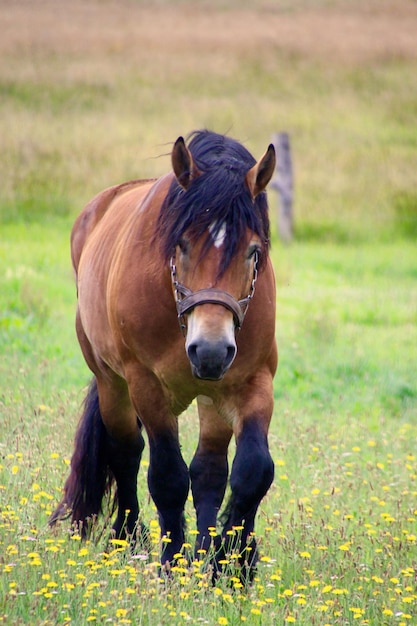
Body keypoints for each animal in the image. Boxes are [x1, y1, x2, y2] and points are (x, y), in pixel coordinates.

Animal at [50, 129, 278, 576]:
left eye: (253, 251)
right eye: (182, 245)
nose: (210, 350)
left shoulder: (251, 381)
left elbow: (252, 470)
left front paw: (231, 565)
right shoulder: (147, 386)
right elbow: (167, 476)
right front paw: (172, 565)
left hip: (212, 395)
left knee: (209, 470)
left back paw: (203, 553)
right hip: (112, 382)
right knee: (126, 453)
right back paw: (126, 539)